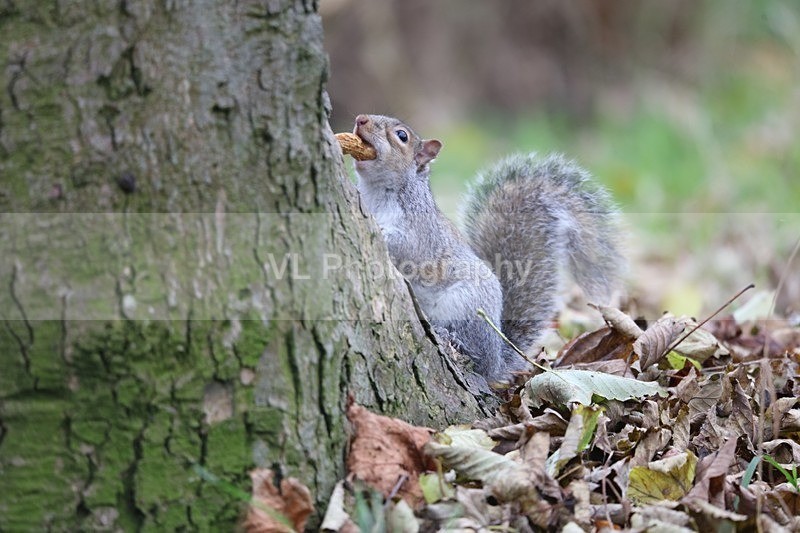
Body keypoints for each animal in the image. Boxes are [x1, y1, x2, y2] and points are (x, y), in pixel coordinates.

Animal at [350, 114, 623, 383]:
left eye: (402, 136)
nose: (360, 119)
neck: (376, 192)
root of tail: (497, 361)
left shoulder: (423, 233)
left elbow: (408, 249)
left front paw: (379, 229)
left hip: (465, 306)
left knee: (475, 354)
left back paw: (454, 340)